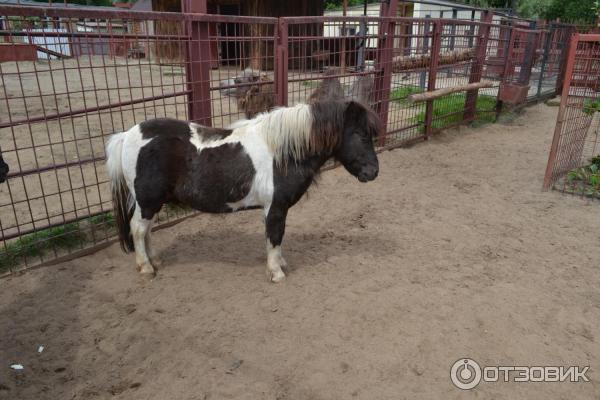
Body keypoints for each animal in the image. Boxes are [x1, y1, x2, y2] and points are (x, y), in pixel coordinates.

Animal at [106, 100, 380, 282]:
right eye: (359, 134)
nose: (373, 172)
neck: (282, 153)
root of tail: (127, 135)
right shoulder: (276, 208)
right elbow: (276, 236)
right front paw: (276, 272)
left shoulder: (270, 209)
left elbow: (273, 238)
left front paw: (280, 263)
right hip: (148, 200)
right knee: (138, 229)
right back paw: (146, 267)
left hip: (152, 202)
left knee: (147, 230)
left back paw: (155, 260)